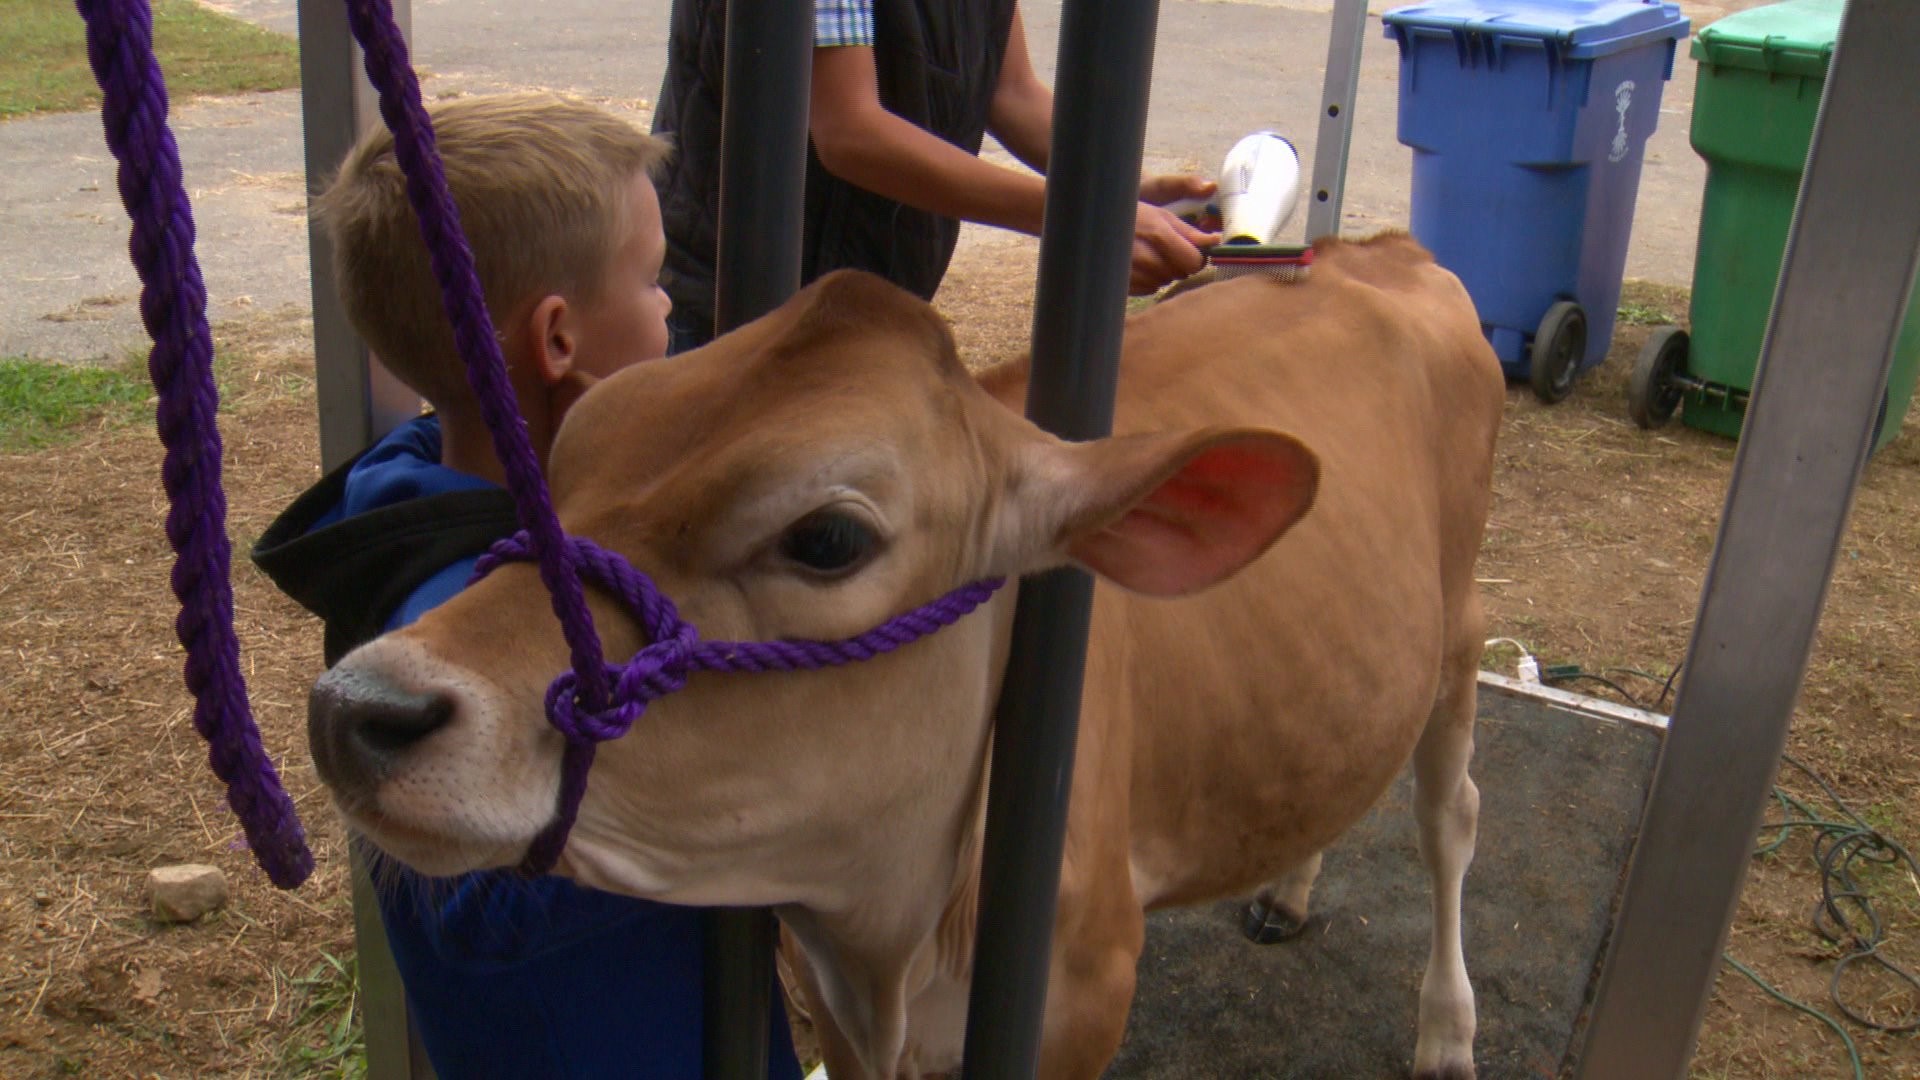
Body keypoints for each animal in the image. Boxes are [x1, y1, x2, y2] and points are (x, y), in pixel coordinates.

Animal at [307, 231, 1505, 1068]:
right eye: (563, 460)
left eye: (829, 538)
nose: (356, 705)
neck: (893, 932)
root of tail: (1381, 250)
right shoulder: (833, 998)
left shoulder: (1082, 998)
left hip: (1458, 628)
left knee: (1451, 813)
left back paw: (1448, 1032)